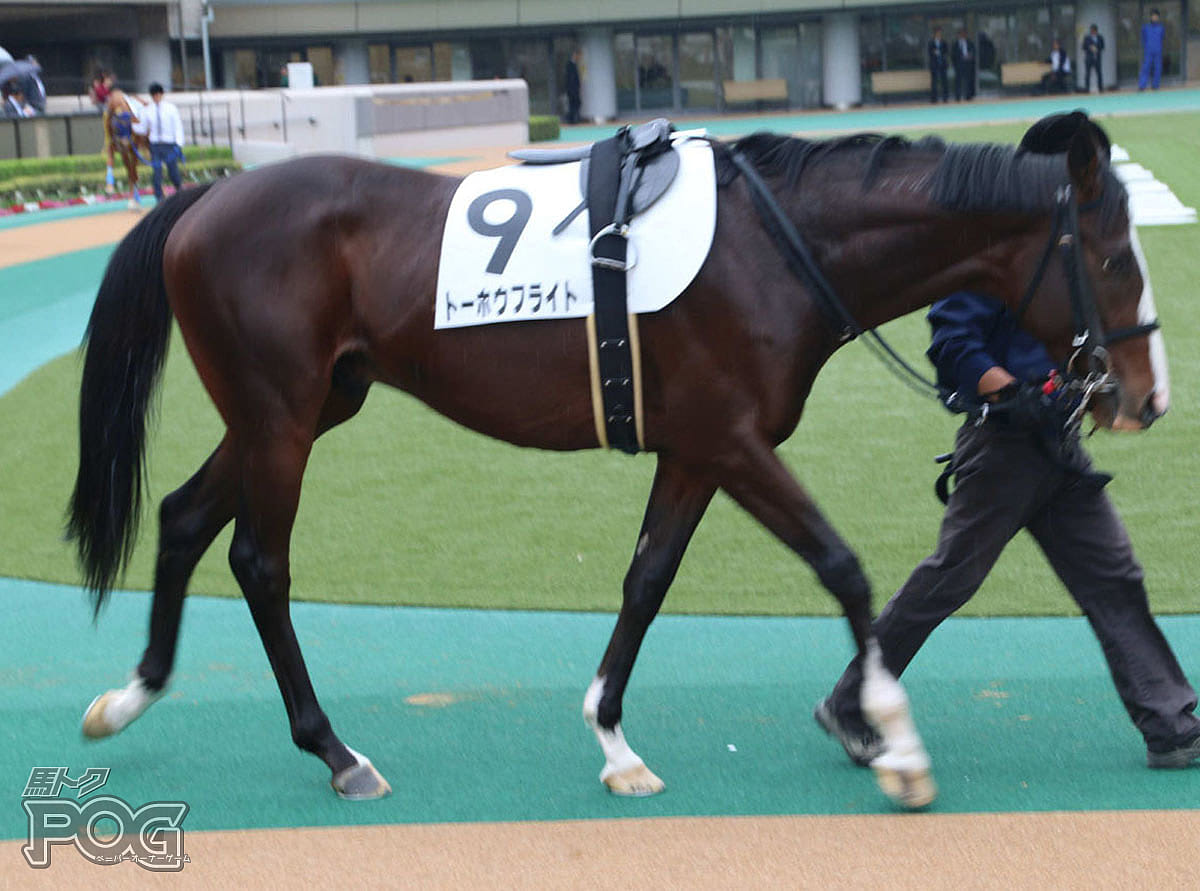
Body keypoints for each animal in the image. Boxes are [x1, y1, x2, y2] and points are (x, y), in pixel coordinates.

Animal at [63, 109, 1161, 811]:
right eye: (1112, 258)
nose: (1144, 398)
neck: (778, 244)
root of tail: (203, 202)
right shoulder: (733, 439)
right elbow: (843, 567)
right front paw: (893, 740)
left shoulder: (694, 448)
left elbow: (647, 578)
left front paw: (614, 741)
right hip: (281, 418)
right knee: (259, 561)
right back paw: (334, 750)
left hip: (305, 407)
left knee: (183, 516)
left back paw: (131, 694)